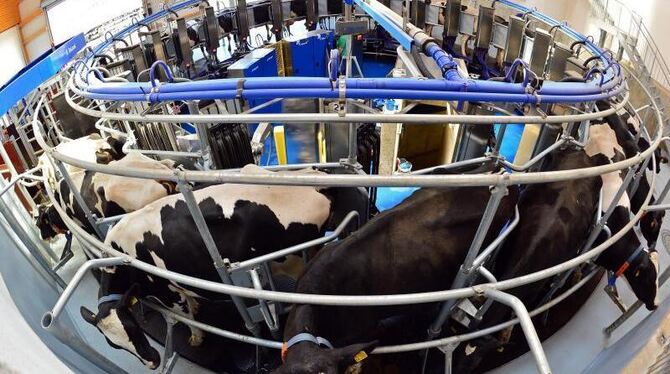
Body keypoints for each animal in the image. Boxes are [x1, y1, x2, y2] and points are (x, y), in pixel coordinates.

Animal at [79, 164, 352, 368]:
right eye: (114, 345)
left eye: (133, 330)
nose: (152, 363)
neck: (122, 255)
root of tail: (314, 181)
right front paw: (196, 306)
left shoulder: (166, 291)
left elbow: (184, 317)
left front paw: (196, 337)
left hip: (296, 261)